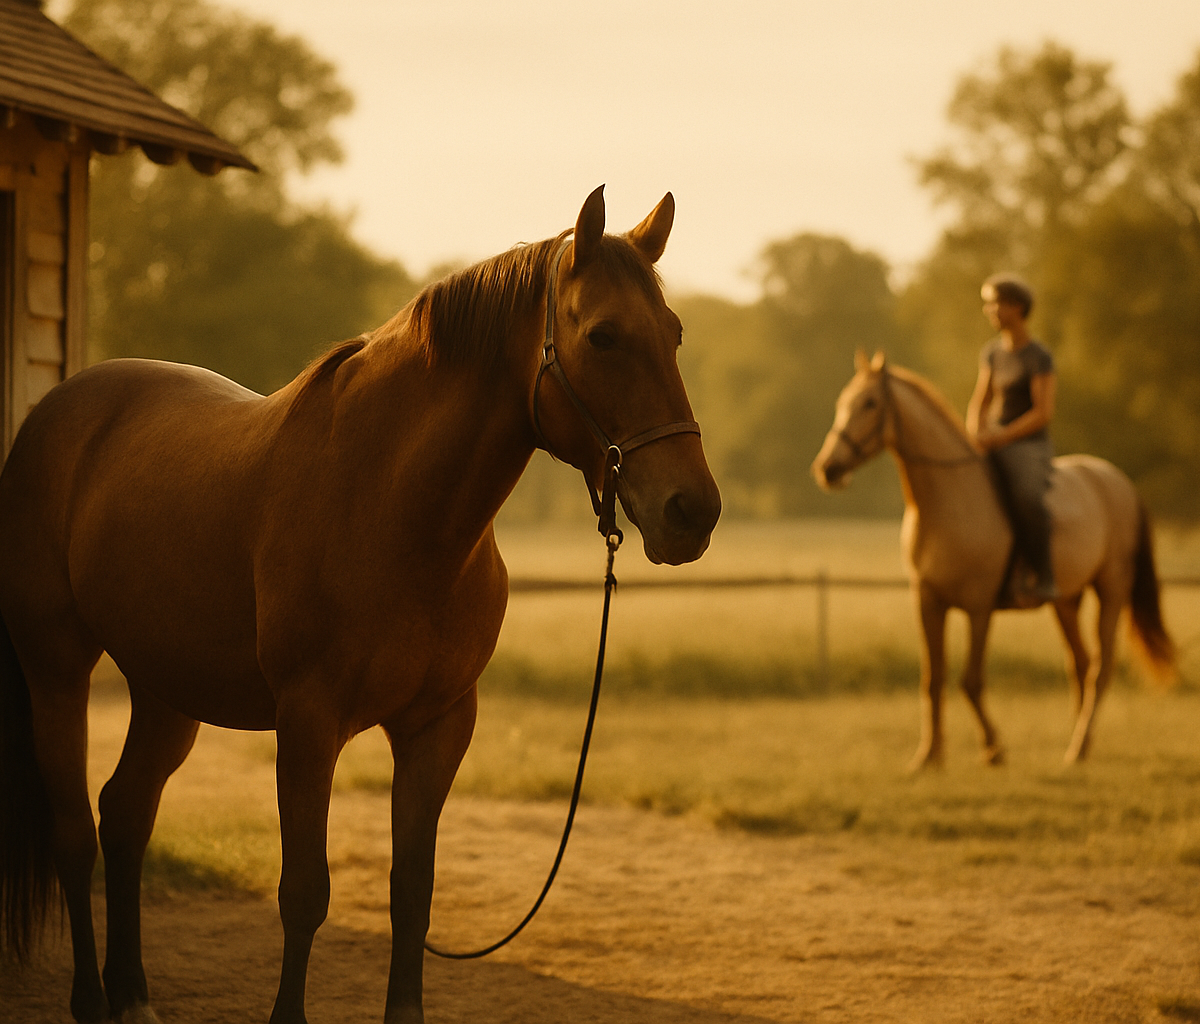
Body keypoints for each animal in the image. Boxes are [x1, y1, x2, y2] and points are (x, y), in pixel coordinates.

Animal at [0, 185, 722, 1024]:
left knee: (123, 816)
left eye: (674, 333)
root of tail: (58, 411)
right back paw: (91, 997)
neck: (390, 506)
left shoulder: (437, 726)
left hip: (166, 689)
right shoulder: (309, 724)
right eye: (604, 336)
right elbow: (304, 895)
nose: (691, 512)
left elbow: (412, 894)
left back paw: (133, 996)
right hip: (57, 670)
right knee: (75, 834)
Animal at [811, 351, 1174, 771]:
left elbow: (970, 680)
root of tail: (1118, 481)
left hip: (1111, 590)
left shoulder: (978, 607)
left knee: (1101, 668)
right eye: (842, 403)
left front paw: (993, 748)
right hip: (1066, 601)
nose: (827, 469)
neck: (948, 502)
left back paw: (1078, 747)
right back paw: (1080, 742)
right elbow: (932, 679)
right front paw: (929, 755)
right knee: (1080, 664)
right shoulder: (928, 602)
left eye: (869, 403)